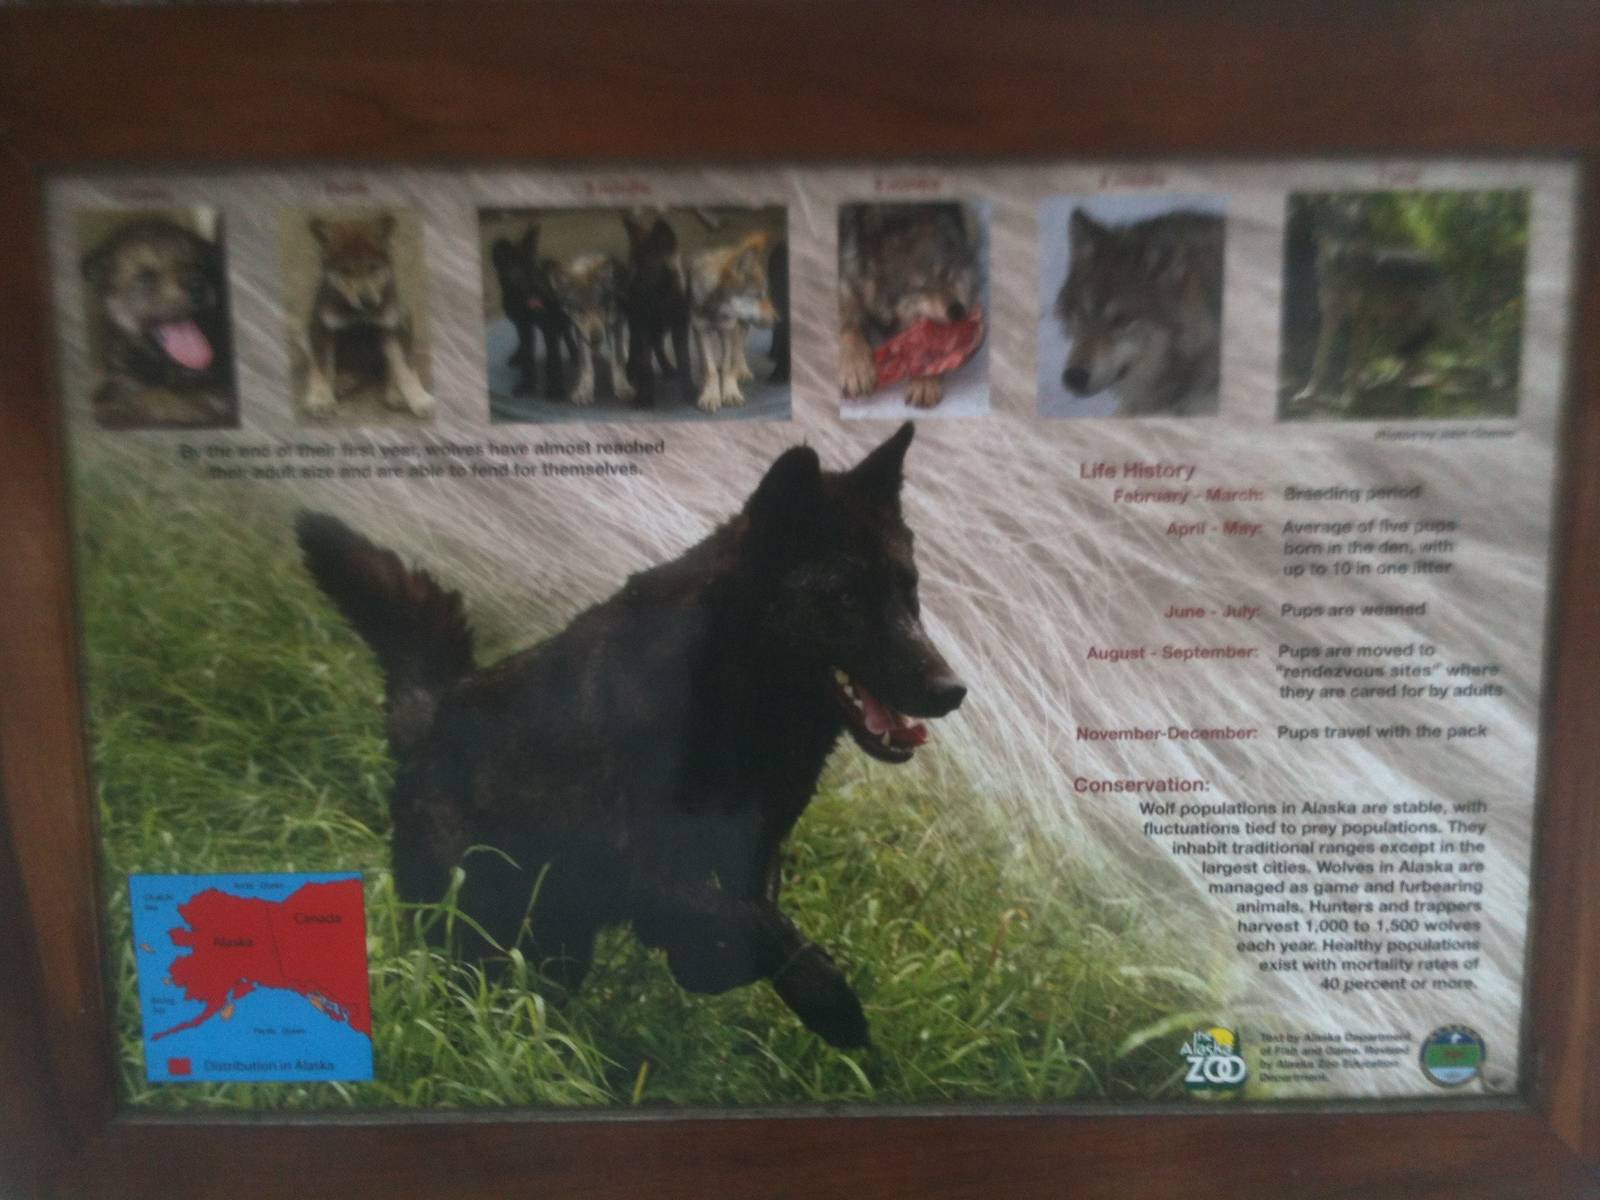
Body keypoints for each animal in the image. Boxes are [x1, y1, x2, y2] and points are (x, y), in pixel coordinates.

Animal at [296, 423, 965, 1048]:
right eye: (847, 598)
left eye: (908, 590)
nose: (952, 690)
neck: (734, 699)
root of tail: (432, 718)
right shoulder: (642, 863)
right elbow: (743, 922)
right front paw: (829, 999)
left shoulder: (756, 849)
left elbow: (753, 915)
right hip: (480, 929)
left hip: (557, 946)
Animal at [302, 214, 434, 420]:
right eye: (345, 271)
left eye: (373, 268)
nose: (368, 302)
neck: (358, 313)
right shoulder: (322, 329)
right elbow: (322, 368)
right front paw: (320, 399)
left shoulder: (391, 327)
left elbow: (405, 368)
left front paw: (420, 399)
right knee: (318, 365)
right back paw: (342, 381)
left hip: (404, 317)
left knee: (390, 367)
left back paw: (394, 391)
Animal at [546, 253, 633, 406]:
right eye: (580, 310)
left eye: (599, 306)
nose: (596, 338)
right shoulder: (580, 331)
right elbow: (585, 365)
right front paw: (584, 391)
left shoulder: (616, 323)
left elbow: (618, 360)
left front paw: (623, 388)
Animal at [686, 231, 779, 412]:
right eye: (758, 296)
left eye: (767, 294)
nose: (779, 320)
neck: (715, 309)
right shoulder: (701, 329)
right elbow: (710, 368)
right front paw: (710, 395)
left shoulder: (729, 328)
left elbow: (729, 364)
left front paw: (730, 393)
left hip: (741, 324)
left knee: (738, 349)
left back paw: (742, 371)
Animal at [839, 203, 982, 409]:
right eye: (919, 288)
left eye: (945, 274)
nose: (958, 311)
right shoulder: (847, 280)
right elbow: (851, 327)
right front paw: (856, 368)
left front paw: (924, 381)